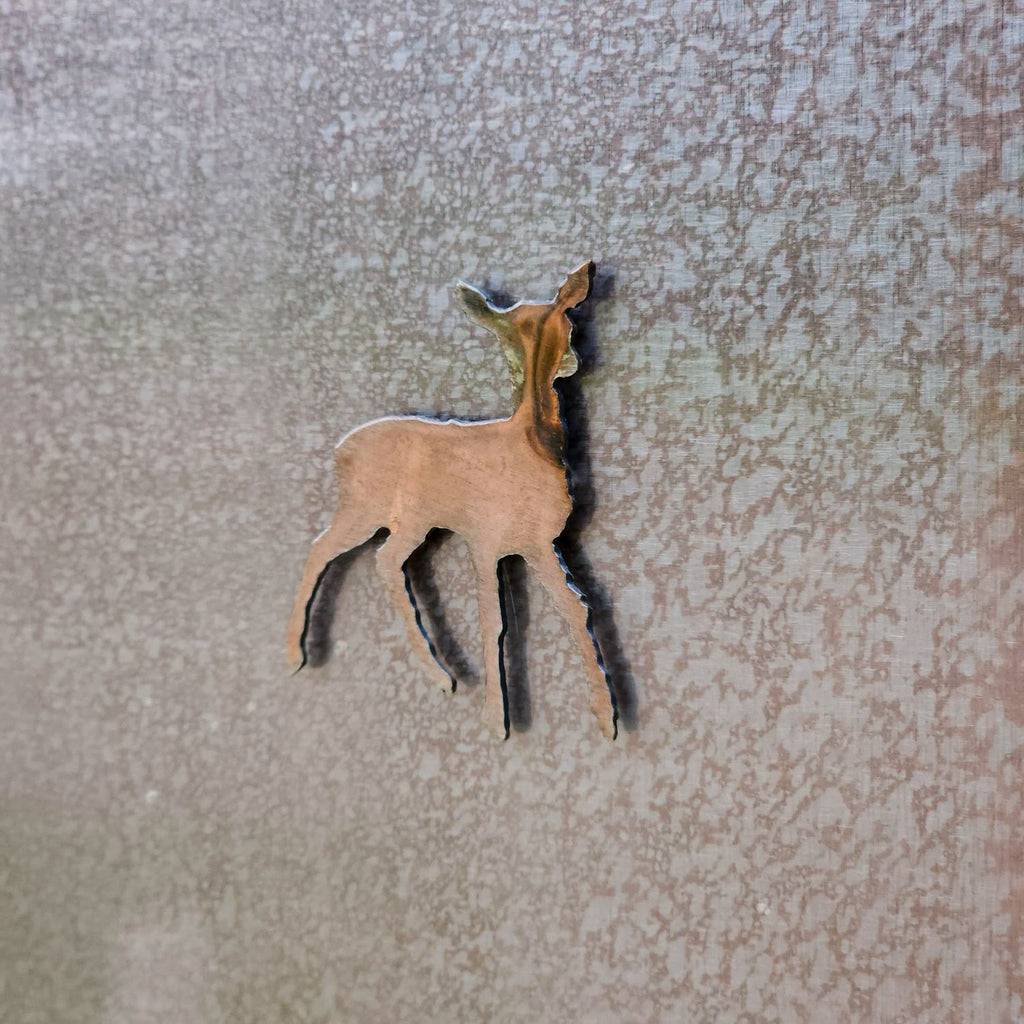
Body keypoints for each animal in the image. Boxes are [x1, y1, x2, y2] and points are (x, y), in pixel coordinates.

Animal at [285, 262, 616, 740]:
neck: (528, 446)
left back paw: (441, 675)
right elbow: (493, 622)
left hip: (412, 522)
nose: (575, 361)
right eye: (569, 324)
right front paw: (497, 721)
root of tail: (339, 450)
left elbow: (577, 607)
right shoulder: (484, 541)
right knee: (321, 550)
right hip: (363, 512)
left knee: (385, 561)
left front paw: (606, 717)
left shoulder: (539, 544)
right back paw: (299, 656)